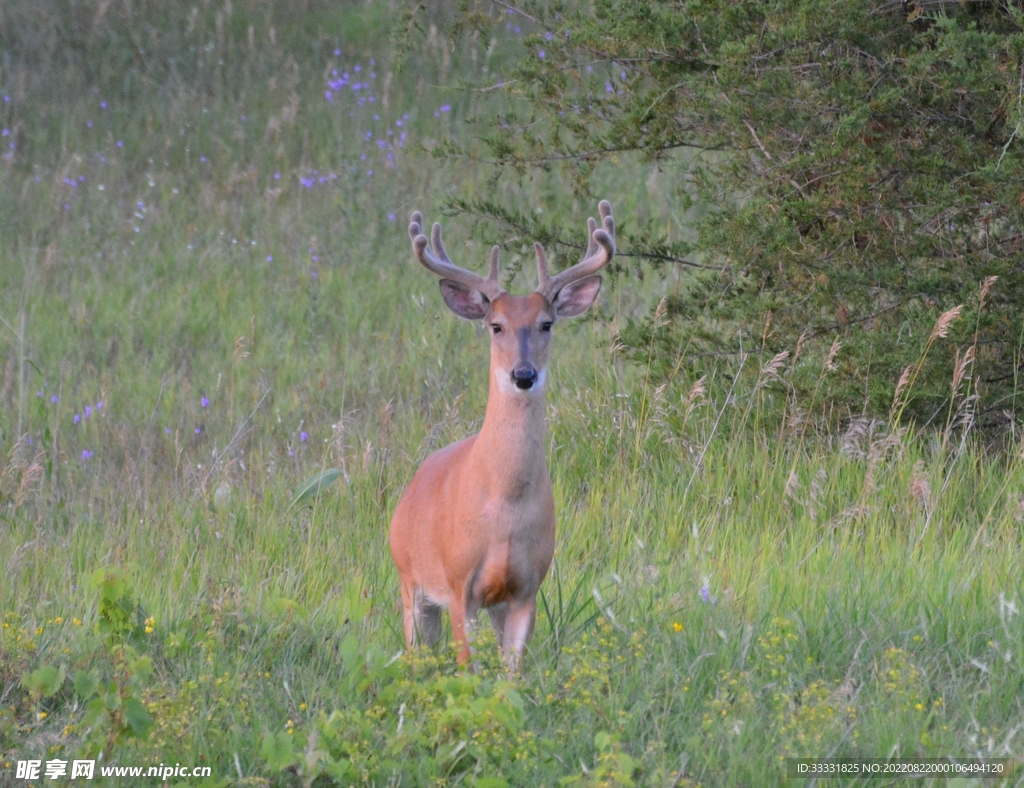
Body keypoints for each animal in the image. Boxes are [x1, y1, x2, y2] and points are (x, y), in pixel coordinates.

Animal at [389, 200, 616, 671]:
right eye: (495, 325)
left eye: (547, 323)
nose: (523, 374)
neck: (505, 504)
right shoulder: (459, 585)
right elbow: (467, 669)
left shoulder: (526, 587)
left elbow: (512, 673)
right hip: (409, 581)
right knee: (417, 653)